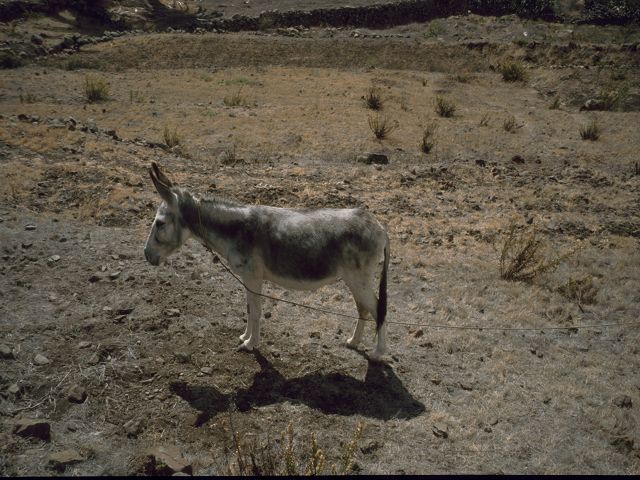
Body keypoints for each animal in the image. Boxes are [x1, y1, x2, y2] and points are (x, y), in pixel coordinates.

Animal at [143, 162, 390, 361]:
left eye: (159, 223)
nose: (146, 255)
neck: (235, 229)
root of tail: (379, 226)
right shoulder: (248, 279)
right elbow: (249, 308)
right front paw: (245, 336)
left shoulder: (253, 277)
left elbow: (255, 310)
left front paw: (250, 344)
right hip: (354, 281)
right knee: (364, 309)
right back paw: (353, 342)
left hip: (358, 279)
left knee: (377, 309)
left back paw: (378, 353)